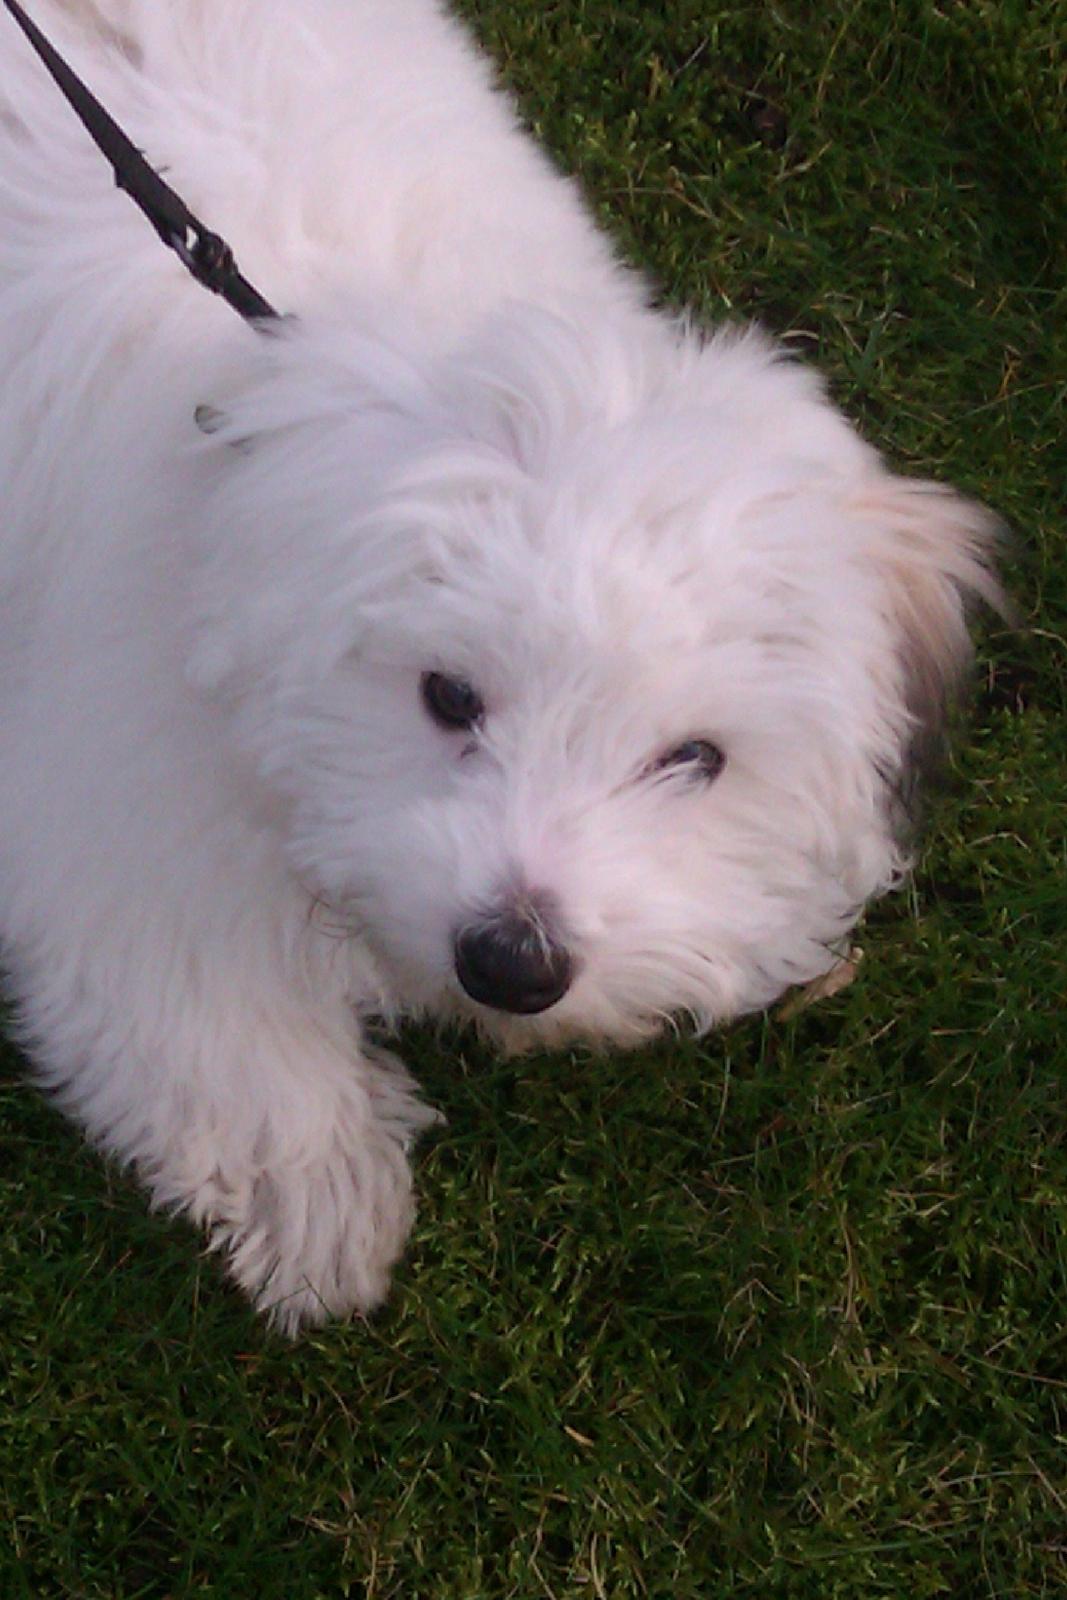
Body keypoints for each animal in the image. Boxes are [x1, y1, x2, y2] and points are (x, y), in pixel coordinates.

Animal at [2, 0, 1004, 1324]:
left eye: (693, 758)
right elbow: (196, 998)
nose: (513, 961)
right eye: (448, 696)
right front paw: (319, 1186)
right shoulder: (120, 785)